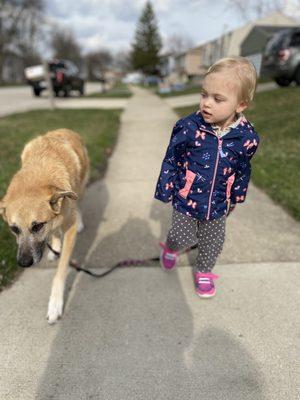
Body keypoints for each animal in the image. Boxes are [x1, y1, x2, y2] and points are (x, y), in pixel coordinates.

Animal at [0, 130, 89, 324]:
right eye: (14, 229)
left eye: (37, 226)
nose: (23, 263)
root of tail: (65, 129)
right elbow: (54, 231)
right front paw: (55, 246)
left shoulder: (68, 228)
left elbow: (61, 271)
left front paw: (55, 304)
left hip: (81, 187)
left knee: (79, 203)